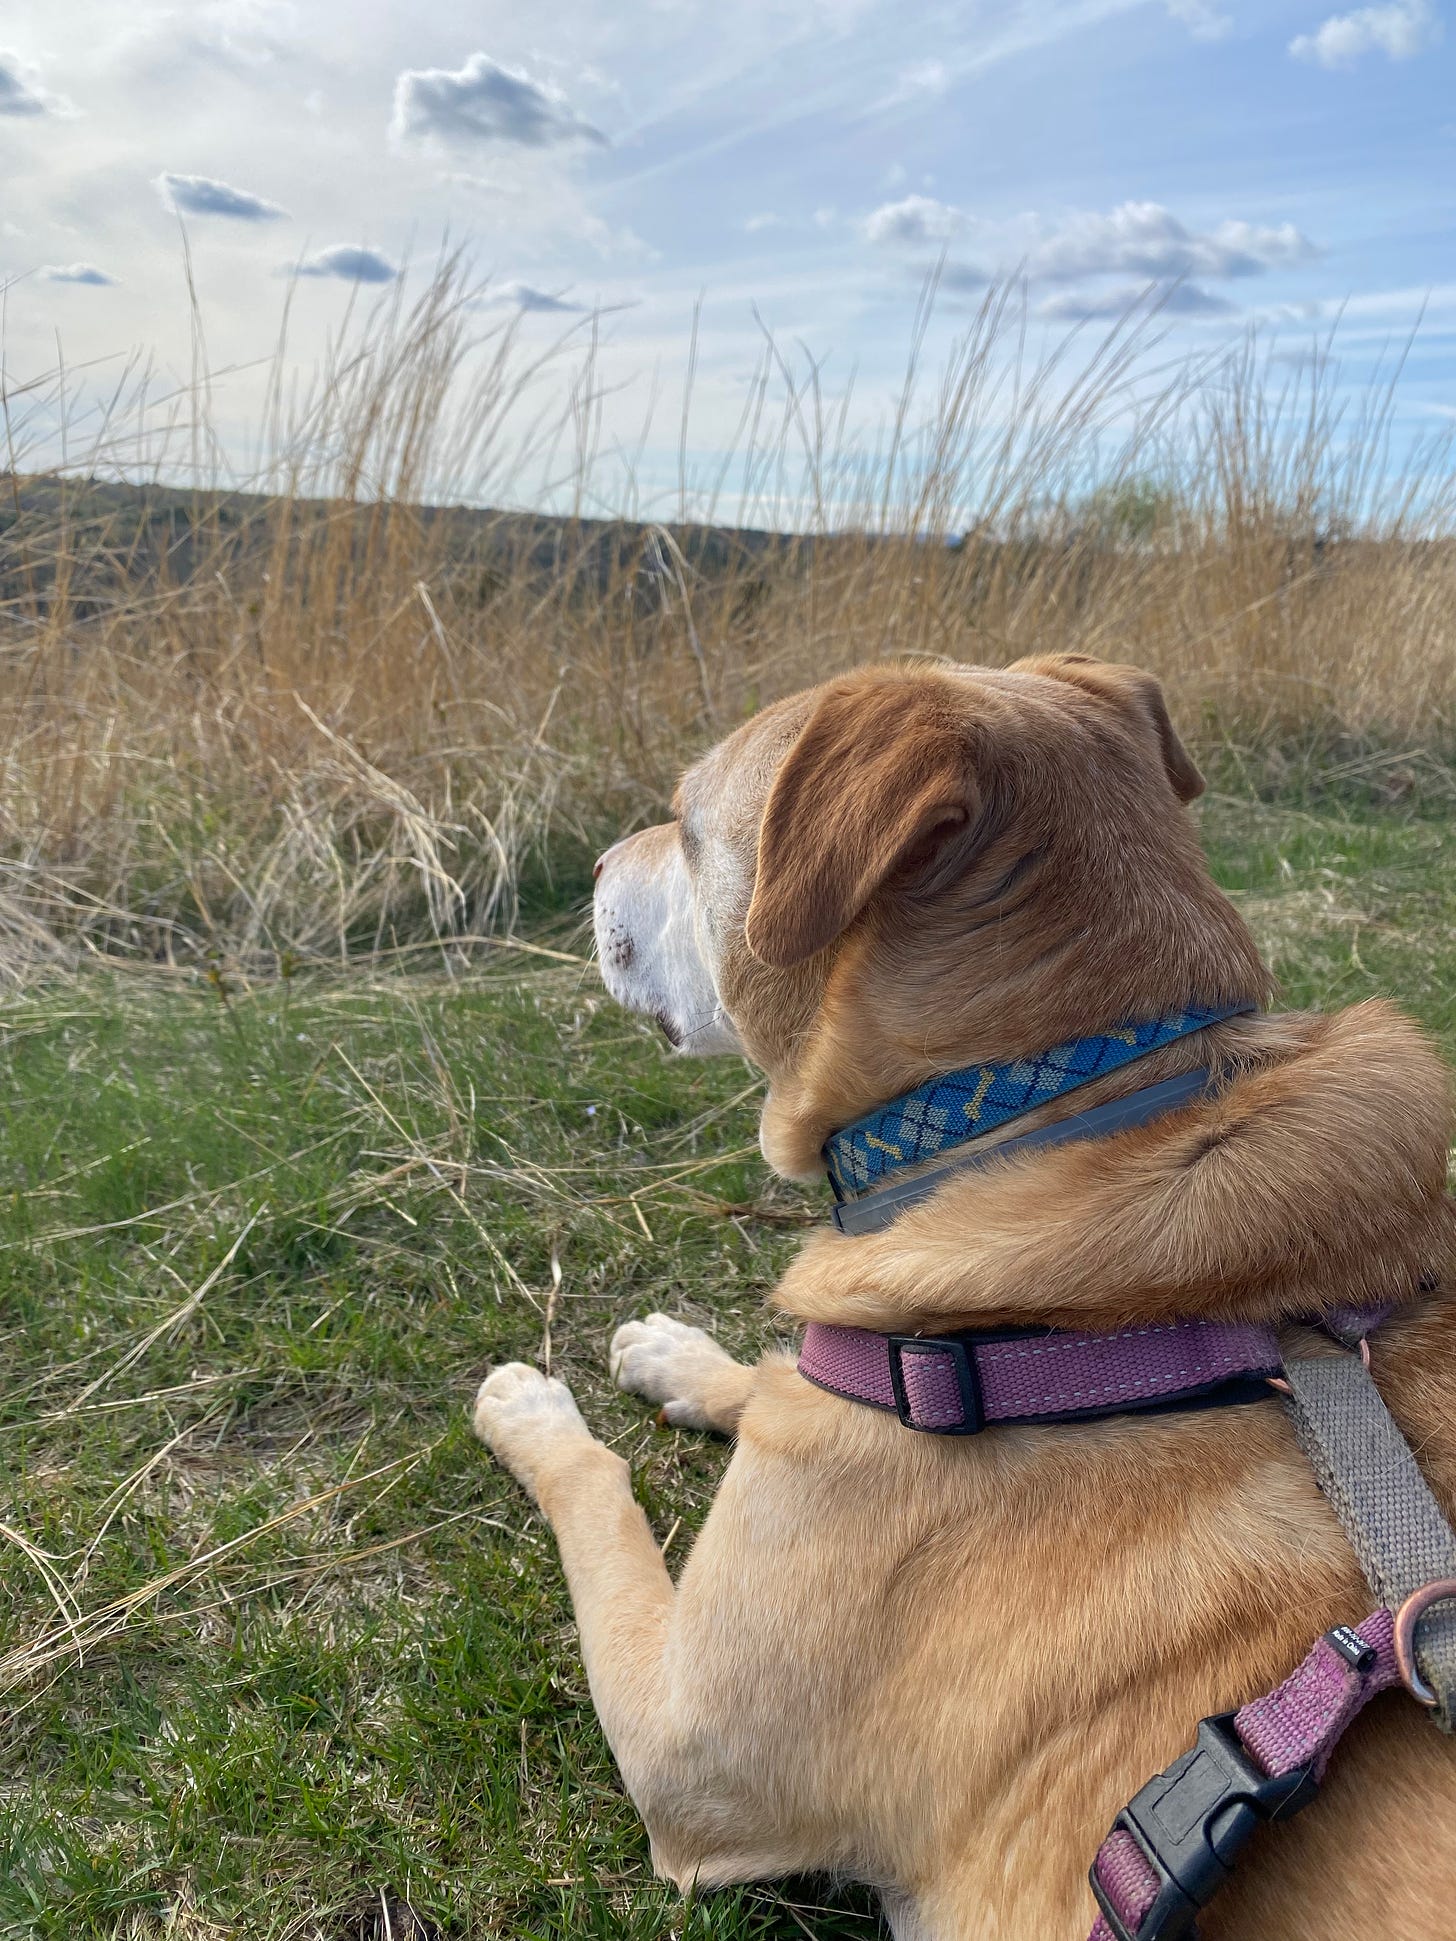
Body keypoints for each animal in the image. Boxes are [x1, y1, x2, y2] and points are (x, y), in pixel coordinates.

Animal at [475, 659, 1456, 1933]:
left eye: (685, 827)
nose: (590, 867)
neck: (1048, 1113)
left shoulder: (681, 1747)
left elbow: (600, 1498)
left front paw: (529, 1413)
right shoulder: (837, 1383)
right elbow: (771, 1374)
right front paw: (674, 1356)